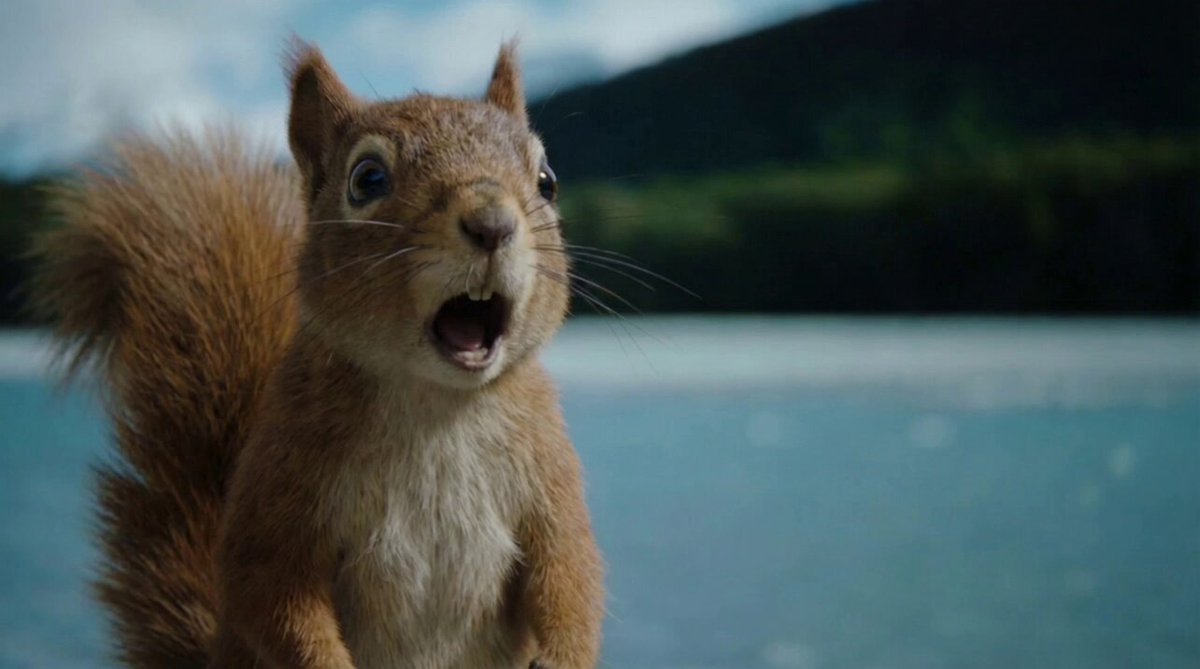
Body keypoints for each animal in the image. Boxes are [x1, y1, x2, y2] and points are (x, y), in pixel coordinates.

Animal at [31, 40, 604, 669]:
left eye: (547, 181)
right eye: (368, 178)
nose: (492, 223)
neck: (436, 401)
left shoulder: (551, 479)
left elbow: (571, 576)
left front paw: (564, 653)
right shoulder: (281, 486)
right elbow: (273, 593)